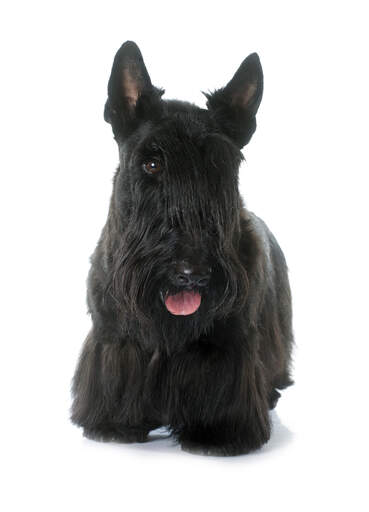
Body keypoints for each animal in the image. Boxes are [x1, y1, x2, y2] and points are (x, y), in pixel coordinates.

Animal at [70, 41, 292, 456]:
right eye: (152, 164)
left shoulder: (228, 347)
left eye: (219, 167)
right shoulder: (113, 339)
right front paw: (114, 424)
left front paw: (216, 434)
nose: (191, 273)